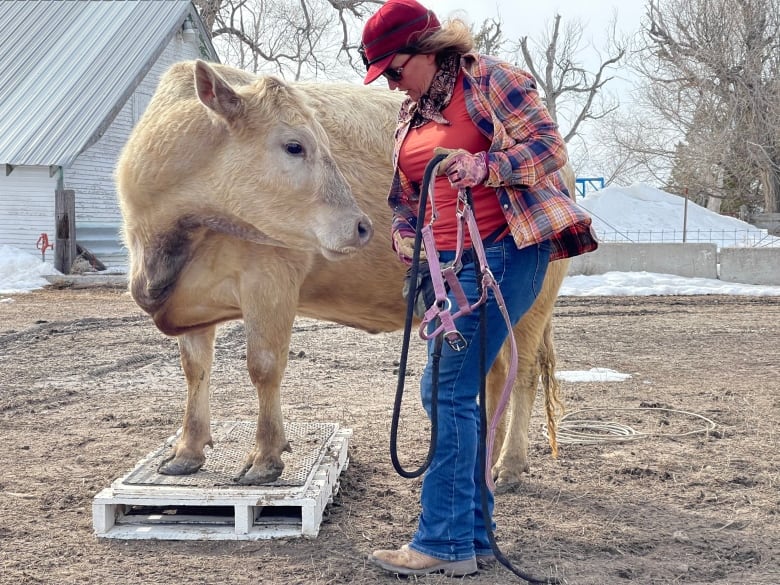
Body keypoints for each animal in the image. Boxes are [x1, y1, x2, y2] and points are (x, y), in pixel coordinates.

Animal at [116, 60, 568, 488]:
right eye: (294, 145)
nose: (362, 226)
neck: (164, 241)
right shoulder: (193, 297)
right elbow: (194, 370)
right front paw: (187, 452)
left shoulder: (271, 279)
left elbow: (264, 366)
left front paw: (265, 458)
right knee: (494, 372)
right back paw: (485, 460)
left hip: (532, 303)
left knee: (523, 373)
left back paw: (509, 465)